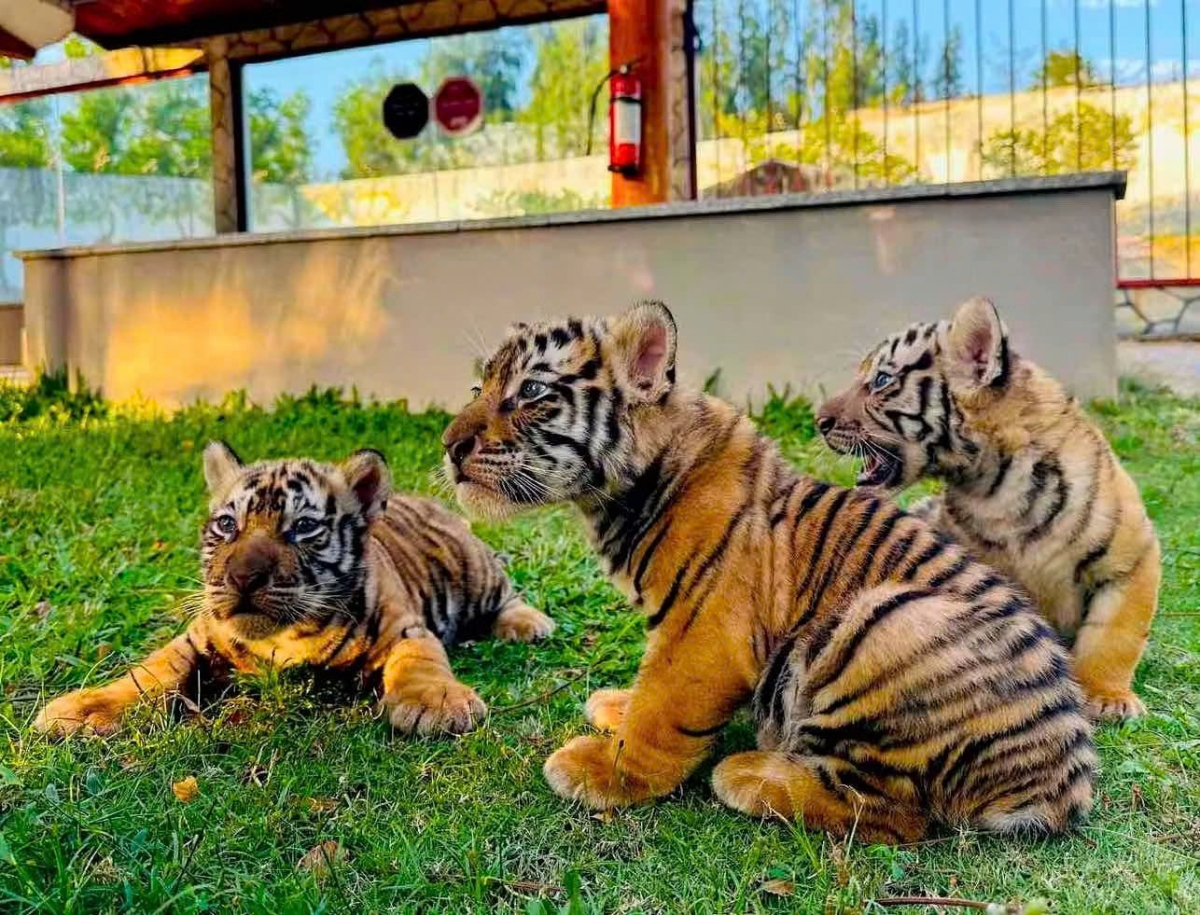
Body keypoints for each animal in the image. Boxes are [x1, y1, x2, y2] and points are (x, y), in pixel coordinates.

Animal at [35, 442, 554, 739]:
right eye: (227, 525)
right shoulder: (197, 637)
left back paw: (532, 624)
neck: (284, 637)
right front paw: (82, 709)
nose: (243, 578)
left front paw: (438, 704)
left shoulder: (405, 629)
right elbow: (150, 672)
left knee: (506, 592)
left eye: (303, 527)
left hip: (475, 567)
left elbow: (419, 662)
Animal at [440, 300, 1095, 843]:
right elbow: (648, 687)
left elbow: (662, 710)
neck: (615, 496)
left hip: (887, 622)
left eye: (531, 391)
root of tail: (1064, 784)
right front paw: (618, 706)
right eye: (477, 386)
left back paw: (749, 774)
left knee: (894, 814)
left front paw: (607, 770)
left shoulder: (703, 631)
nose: (448, 446)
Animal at [817, 296, 1160, 722]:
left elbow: (1115, 636)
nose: (818, 421)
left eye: (881, 380)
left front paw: (1108, 697)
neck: (996, 487)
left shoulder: (1131, 560)